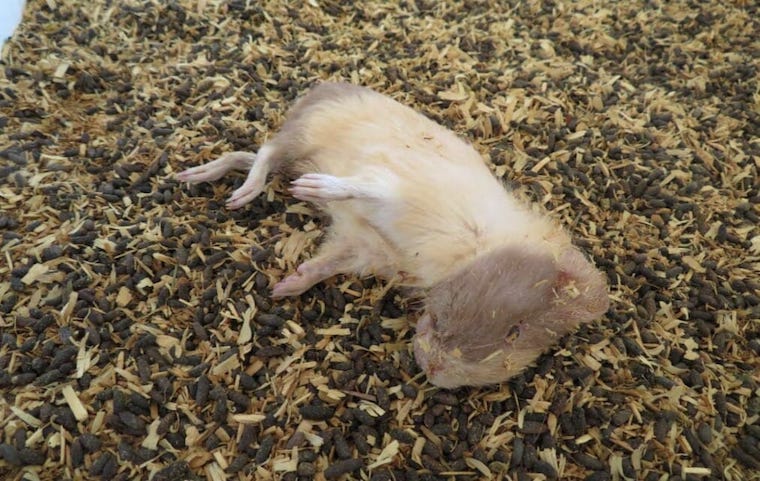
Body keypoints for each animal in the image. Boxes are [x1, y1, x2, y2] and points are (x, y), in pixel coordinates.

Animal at [176, 82, 609, 388]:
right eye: (513, 328)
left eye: (518, 338)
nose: (433, 371)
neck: (468, 256)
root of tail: (323, 88)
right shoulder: (392, 195)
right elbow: (364, 187)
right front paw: (314, 192)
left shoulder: (360, 247)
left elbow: (321, 267)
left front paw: (283, 289)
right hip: (301, 139)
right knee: (264, 154)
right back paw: (238, 193)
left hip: (295, 151)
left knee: (247, 156)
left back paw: (199, 176)